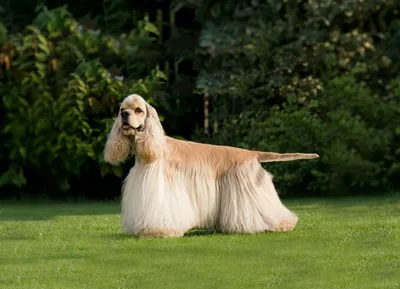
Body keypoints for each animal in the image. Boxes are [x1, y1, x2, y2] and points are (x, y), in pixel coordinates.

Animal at [103, 93, 318, 237]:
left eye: (139, 110)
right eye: (121, 109)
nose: (124, 115)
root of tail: (252, 154)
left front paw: (158, 231)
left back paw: (282, 224)